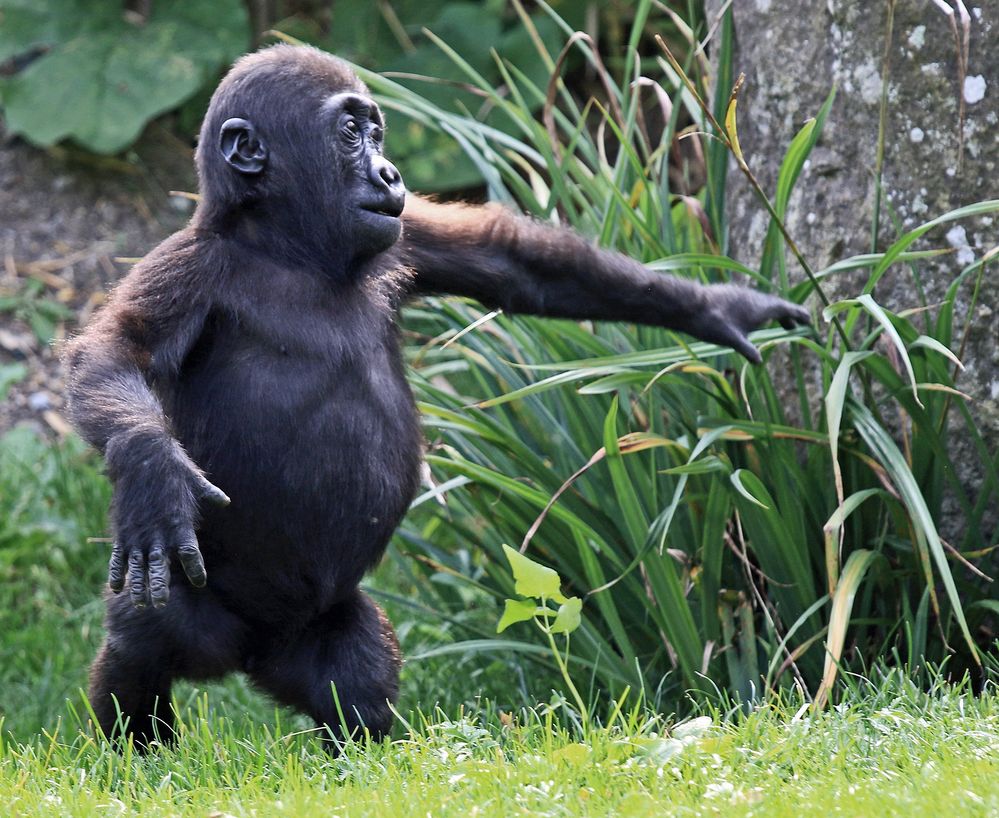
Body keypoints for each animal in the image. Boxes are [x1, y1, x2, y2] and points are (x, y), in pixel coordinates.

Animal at [64, 43, 812, 744]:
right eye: (349, 132)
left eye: (377, 132)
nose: (390, 173)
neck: (285, 246)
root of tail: (244, 657)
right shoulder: (192, 268)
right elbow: (116, 350)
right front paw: (151, 467)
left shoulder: (406, 237)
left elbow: (516, 264)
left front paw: (716, 308)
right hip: (196, 608)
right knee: (144, 643)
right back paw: (135, 755)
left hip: (314, 637)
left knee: (356, 678)